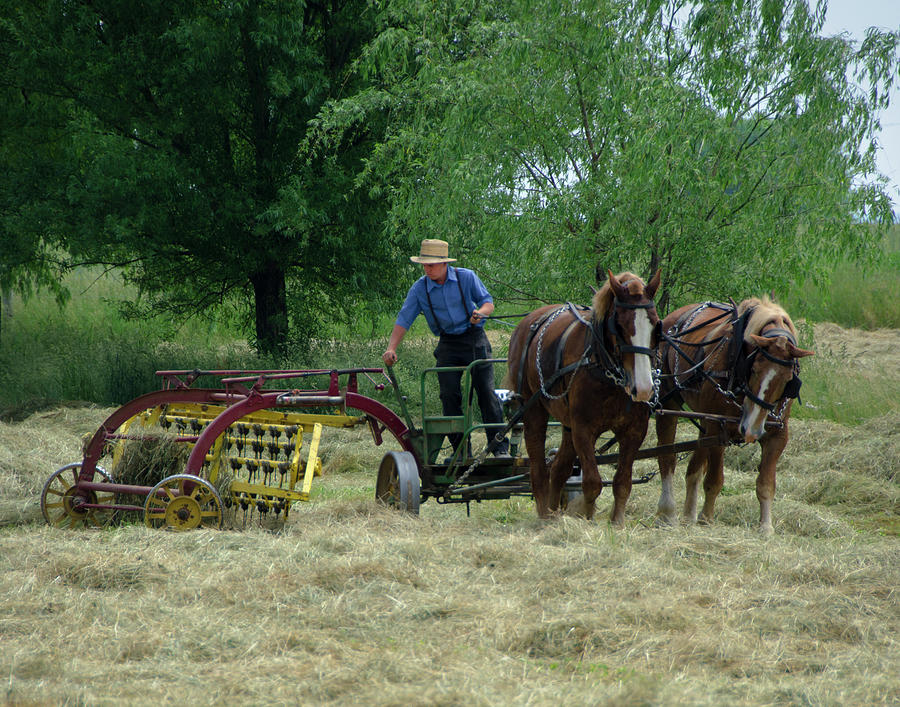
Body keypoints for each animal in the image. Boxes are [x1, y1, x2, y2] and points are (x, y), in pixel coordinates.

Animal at [506, 268, 660, 524]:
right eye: (619, 325)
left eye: (656, 325)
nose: (644, 388)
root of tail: (528, 320)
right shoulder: (583, 429)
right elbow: (592, 483)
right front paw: (587, 519)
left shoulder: (634, 431)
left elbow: (622, 483)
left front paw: (617, 523)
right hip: (534, 409)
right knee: (539, 469)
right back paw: (544, 517)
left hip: (567, 424)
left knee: (558, 469)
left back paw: (554, 514)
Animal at [652, 296, 816, 532]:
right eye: (754, 369)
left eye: (787, 379)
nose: (752, 429)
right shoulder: (718, 429)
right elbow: (714, 480)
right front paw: (706, 518)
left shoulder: (778, 435)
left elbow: (766, 484)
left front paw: (766, 527)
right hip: (669, 403)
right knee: (667, 458)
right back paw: (667, 513)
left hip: (704, 419)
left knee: (693, 468)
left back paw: (688, 515)